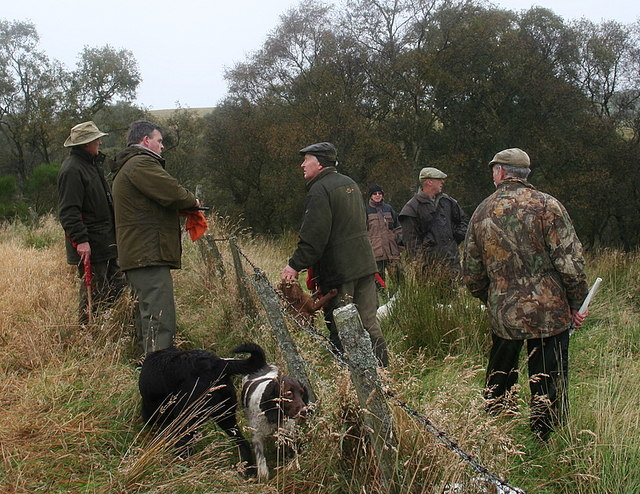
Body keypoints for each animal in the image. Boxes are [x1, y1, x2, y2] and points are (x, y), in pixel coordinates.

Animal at [139, 342, 266, 472]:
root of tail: (219, 364)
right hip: (225, 416)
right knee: (243, 443)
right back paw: (248, 470)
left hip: (186, 418)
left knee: (184, 448)